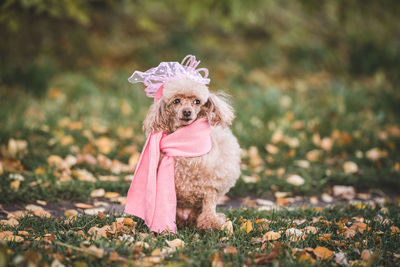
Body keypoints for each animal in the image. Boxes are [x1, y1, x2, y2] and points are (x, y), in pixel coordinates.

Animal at [142, 75, 239, 230]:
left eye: (197, 101)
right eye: (176, 100)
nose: (187, 111)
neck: (185, 140)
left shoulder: (211, 183)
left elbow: (209, 202)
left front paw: (211, 222)